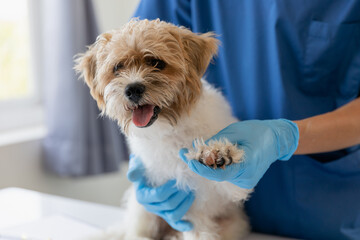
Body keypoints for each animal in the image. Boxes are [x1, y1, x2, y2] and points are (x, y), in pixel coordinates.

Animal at [75, 18, 252, 240]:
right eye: (118, 67)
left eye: (157, 63)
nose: (132, 89)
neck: (171, 131)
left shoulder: (231, 190)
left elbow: (231, 180)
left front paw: (217, 154)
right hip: (141, 209)